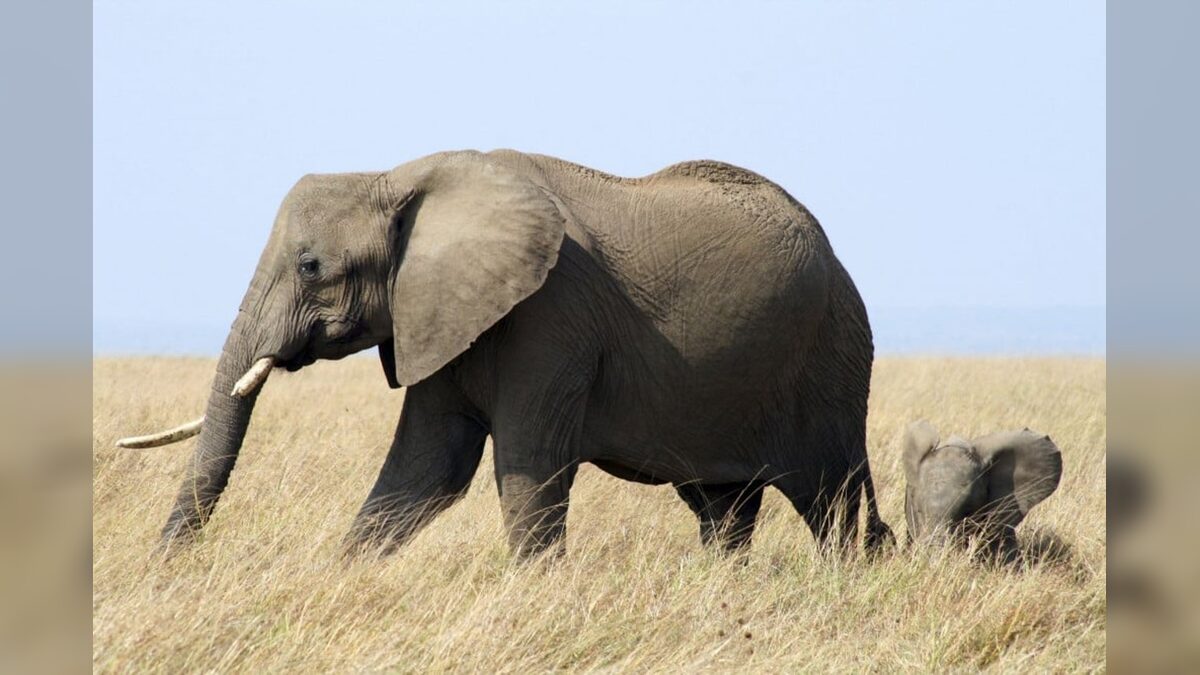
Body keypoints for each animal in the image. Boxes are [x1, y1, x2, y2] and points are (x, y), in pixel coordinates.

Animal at [118, 149, 894, 559]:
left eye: (310, 267)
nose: (167, 573)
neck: (399, 176)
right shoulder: (442, 316)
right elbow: (421, 473)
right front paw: (340, 575)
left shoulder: (551, 319)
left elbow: (527, 473)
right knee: (724, 508)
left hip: (831, 355)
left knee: (831, 501)